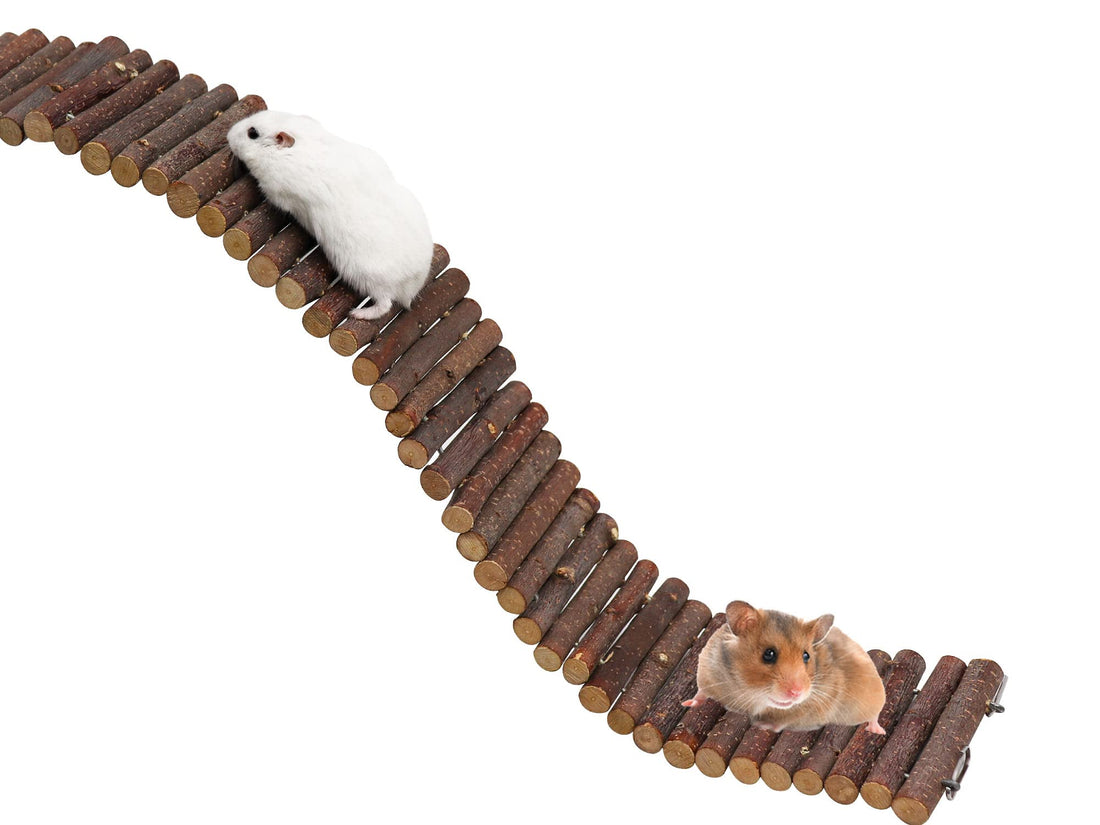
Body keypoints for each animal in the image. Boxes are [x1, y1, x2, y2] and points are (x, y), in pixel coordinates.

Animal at [227, 110, 434, 321]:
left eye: (252, 133)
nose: (228, 134)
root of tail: (412, 286)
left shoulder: (277, 192)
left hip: (367, 277)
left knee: (385, 304)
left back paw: (357, 313)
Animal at [682, 600, 887, 734]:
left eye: (806, 656)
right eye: (769, 654)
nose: (797, 692)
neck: (752, 693)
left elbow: (784, 720)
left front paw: (761, 726)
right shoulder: (708, 672)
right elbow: (701, 693)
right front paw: (686, 703)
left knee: (875, 715)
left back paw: (878, 731)